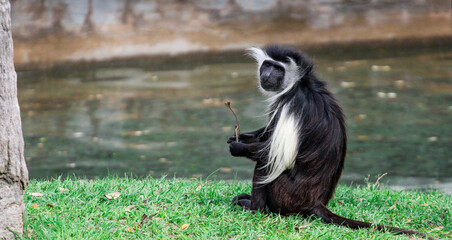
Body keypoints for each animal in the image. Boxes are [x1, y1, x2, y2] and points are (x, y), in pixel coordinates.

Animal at [228, 45, 432, 238]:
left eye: (278, 69)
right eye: (267, 65)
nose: (267, 75)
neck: (300, 83)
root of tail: (314, 201)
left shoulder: (290, 103)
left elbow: (273, 151)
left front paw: (238, 147)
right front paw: (241, 136)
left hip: (285, 193)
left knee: (265, 164)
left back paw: (254, 207)